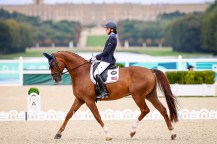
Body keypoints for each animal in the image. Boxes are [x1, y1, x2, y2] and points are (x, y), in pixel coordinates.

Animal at [42, 51, 178, 141]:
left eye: (53, 64)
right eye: (49, 65)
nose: (56, 79)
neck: (81, 72)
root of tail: (150, 70)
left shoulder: (89, 100)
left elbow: (97, 117)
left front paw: (108, 135)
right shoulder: (80, 99)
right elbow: (69, 114)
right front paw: (58, 134)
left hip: (138, 96)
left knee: (145, 110)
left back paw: (132, 131)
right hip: (150, 95)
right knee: (162, 110)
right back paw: (172, 134)